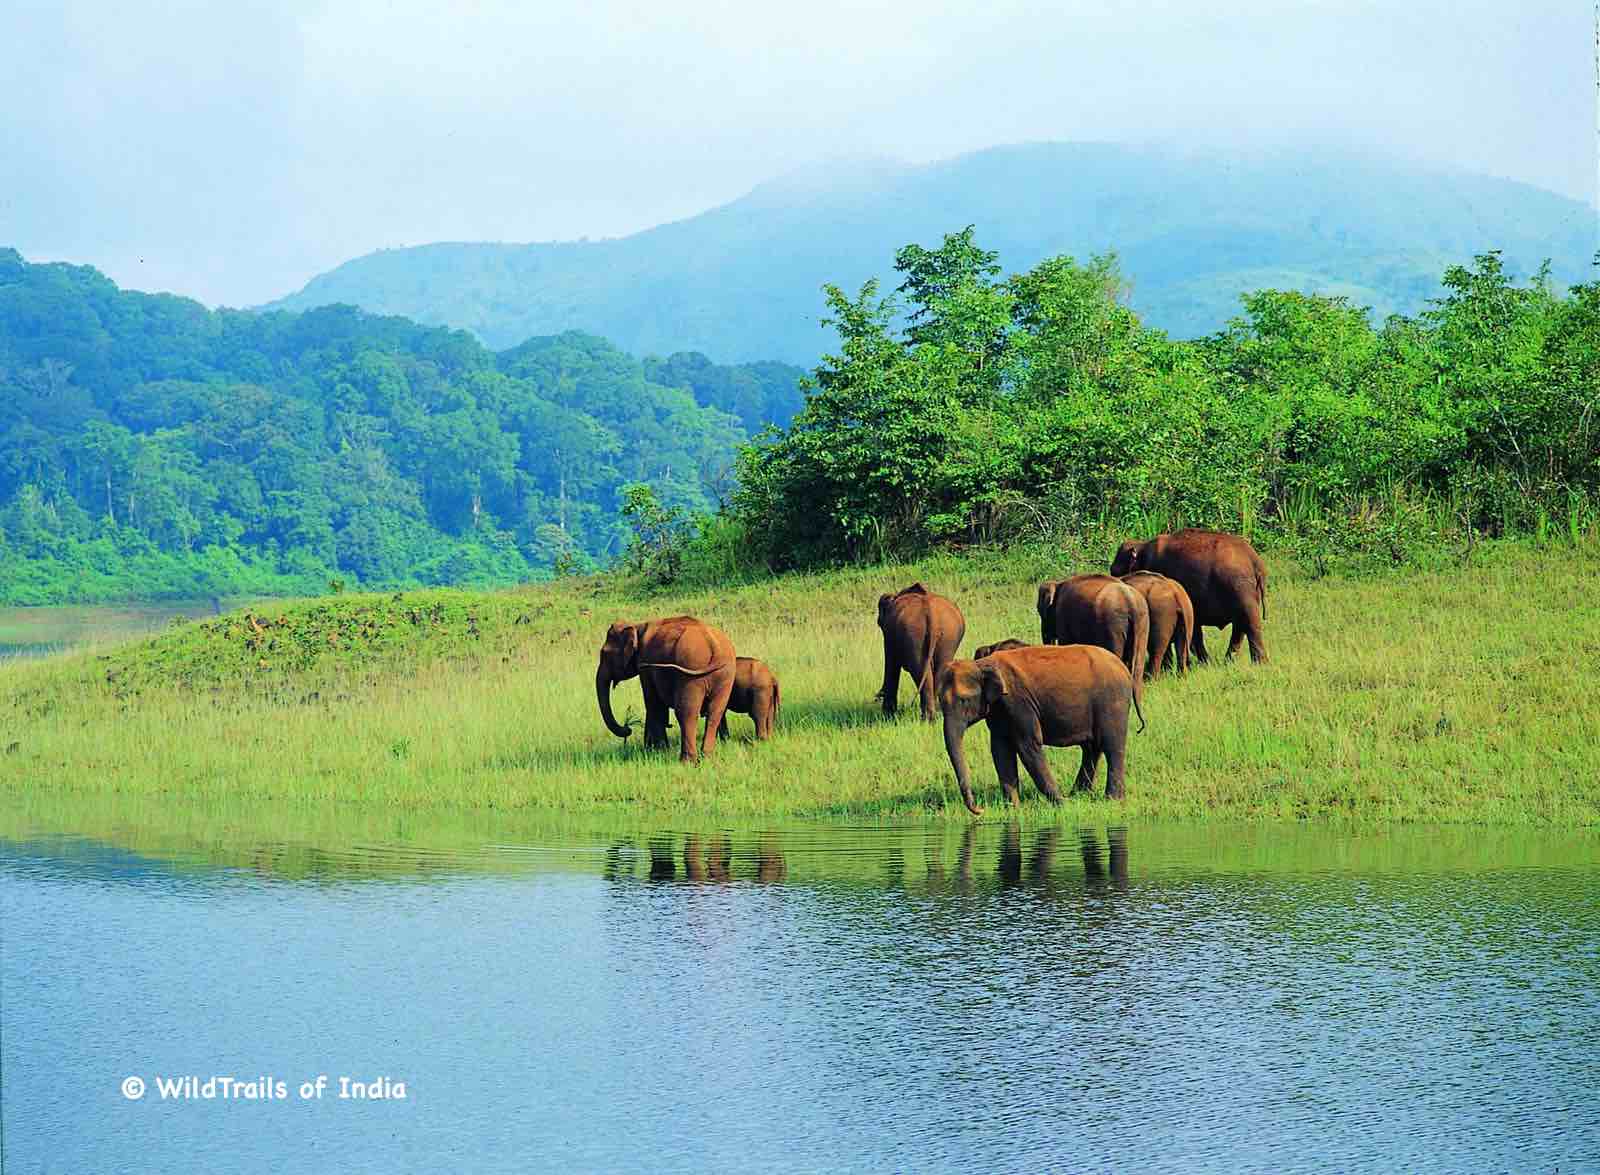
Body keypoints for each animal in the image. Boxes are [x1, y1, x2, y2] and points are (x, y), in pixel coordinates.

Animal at [595, 617, 736, 765]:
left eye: (604, 653)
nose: (628, 728)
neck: (637, 626)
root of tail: (714, 645)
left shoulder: (644, 665)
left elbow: (653, 703)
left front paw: (659, 752)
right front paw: (651, 750)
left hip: (691, 673)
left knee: (686, 712)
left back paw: (687, 762)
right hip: (725, 675)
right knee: (715, 713)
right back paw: (707, 758)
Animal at [876, 585, 960, 723]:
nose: (878, 695)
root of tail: (932, 614)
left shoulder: (889, 636)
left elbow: (892, 664)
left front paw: (887, 717)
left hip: (914, 634)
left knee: (919, 670)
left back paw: (928, 719)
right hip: (949, 636)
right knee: (939, 669)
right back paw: (936, 716)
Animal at [934, 643, 1152, 819]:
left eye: (964, 700)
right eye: (940, 702)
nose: (980, 810)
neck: (981, 664)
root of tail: (1125, 670)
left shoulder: (1018, 703)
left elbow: (1028, 746)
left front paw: (1062, 805)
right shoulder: (998, 710)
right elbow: (1000, 750)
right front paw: (1013, 809)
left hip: (1113, 702)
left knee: (1112, 747)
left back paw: (1111, 800)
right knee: (1092, 748)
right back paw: (1079, 795)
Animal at [1043, 576, 1145, 707]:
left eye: (1041, 612)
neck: (1059, 583)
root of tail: (1130, 601)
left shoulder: (1062, 616)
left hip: (1113, 624)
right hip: (1142, 623)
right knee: (1138, 667)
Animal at [1107, 531, 1267, 662]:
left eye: (1115, 571)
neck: (1142, 546)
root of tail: (1256, 562)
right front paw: (1205, 663)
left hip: (1240, 588)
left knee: (1250, 623)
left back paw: (1259, 663)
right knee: (1240, 626)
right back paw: (1229, 661)